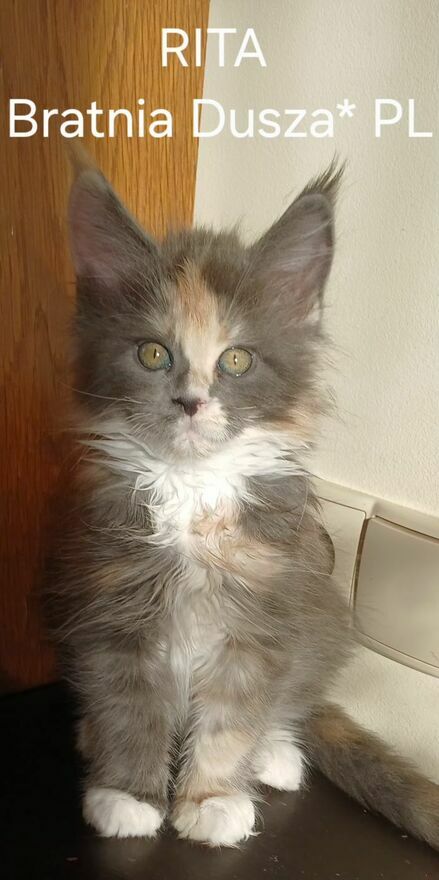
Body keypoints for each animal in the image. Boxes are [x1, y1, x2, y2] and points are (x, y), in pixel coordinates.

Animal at [46, 153, 439, 849]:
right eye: (153, 353)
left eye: (235, 360)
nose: (191, 402)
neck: (192, 494)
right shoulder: (111, 604)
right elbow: (127, 705)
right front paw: (128, 796)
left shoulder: (264, 614)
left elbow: (233, 719)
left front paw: (211, 800)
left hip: (321, 621)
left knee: (290, 702)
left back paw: (277, 755)